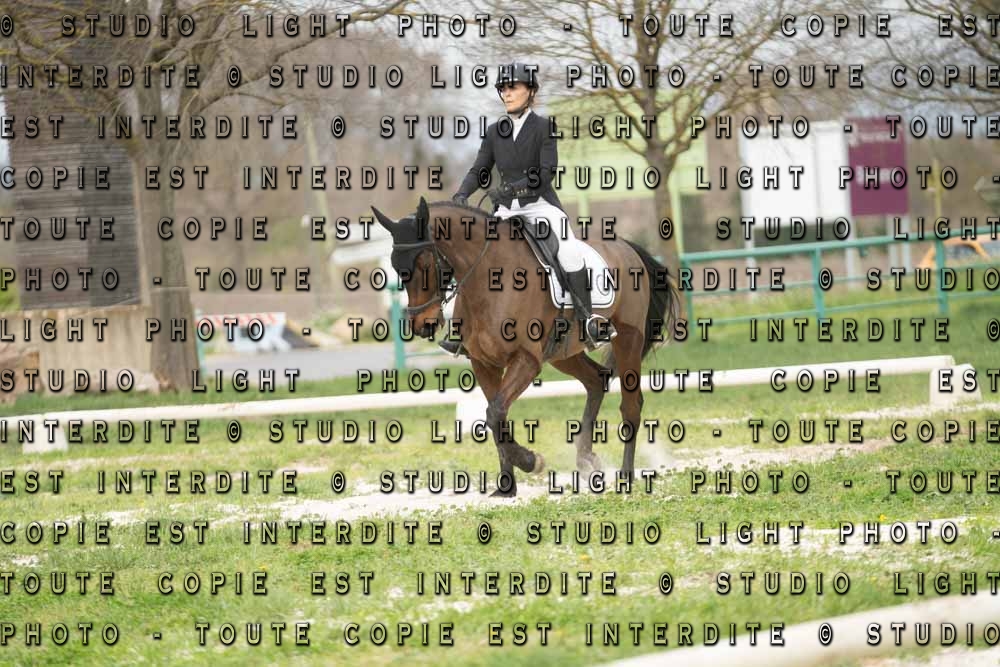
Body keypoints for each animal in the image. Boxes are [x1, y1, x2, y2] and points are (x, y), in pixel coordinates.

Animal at [370, 196, 681, 497]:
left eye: (425, 264)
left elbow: (494, 413)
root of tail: (626, 246)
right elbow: (497, 417)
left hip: (628, 339)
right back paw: (586, 460)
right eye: (397, 269)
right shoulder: (484, 363)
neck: (489, 277)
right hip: (562, 354)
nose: (422, 324)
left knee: (631, 406)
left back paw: (626, 477)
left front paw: (531, 462)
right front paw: (506, 486)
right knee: (596, 381)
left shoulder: (527, 360)